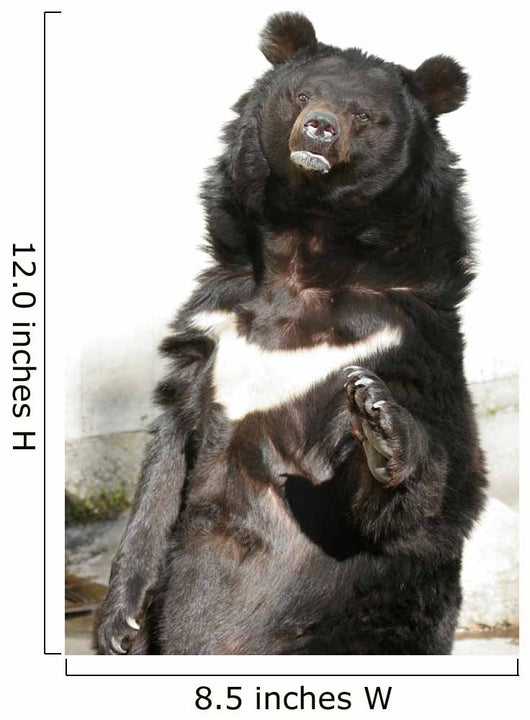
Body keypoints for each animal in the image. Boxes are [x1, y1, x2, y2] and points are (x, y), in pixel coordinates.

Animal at [95, 12, 487, 655]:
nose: (319, 130)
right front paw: (118, 622)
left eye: (364, 114)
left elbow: (434, 487)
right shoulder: (213, 329)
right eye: (302, 96)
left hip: (365, 621)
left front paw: (379, 421)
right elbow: (166, 458)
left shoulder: (403, 336)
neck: (308, 243)